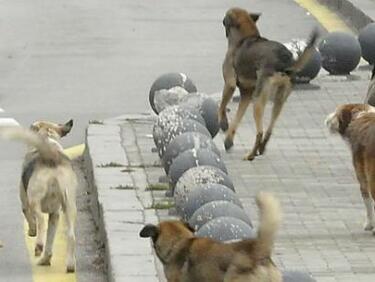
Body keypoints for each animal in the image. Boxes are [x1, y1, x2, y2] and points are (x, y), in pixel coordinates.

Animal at [0, 120, 77, 272]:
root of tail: (52, 155)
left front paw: (32, 231)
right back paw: (62, 263)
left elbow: (28, 216)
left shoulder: (25, 202)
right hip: (69, 205)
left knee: (40, 220)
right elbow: (51, 239)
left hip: (34, 201)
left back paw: (38, 246)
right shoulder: (55, 214)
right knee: (70, 235)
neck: (47, 137)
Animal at [219, 6, 318, 160]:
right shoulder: (246, 94)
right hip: (279, 100)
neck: (244, 37)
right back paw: (261, 148)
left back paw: (251, 154)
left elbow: (222, 106)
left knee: (260, 131)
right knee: (269, 129)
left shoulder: (230, 84)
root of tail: (283, 59)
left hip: (258, 100)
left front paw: (223, 124)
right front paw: (228, 140)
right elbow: (237, 117)